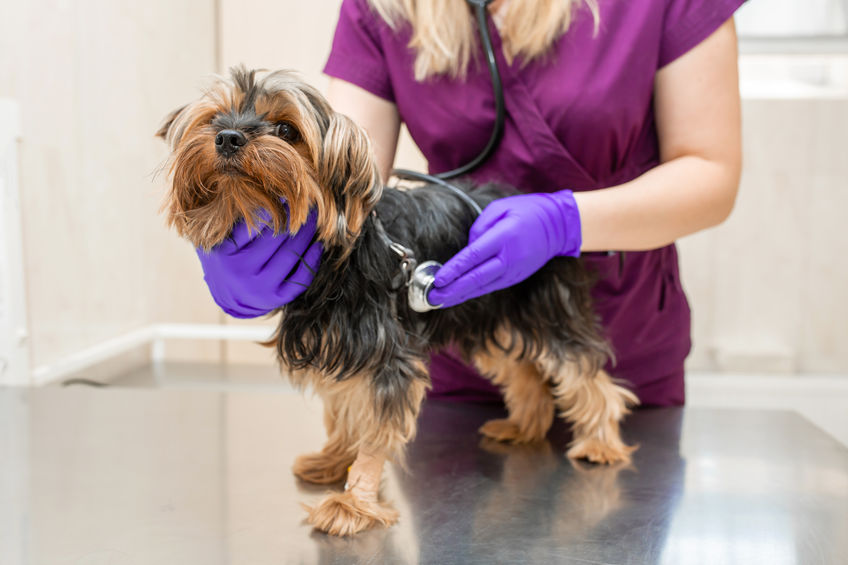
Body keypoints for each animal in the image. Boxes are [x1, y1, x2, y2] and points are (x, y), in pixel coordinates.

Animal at [157, 67, 636, 536]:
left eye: (286, 130)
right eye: (215, 118)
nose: (228, 138)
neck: (332, 260)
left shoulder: (384, 353)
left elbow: (376, 427)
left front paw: (354, 502)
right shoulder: (339, 345)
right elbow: (346, 409)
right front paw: (334, 460)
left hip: (542, 303)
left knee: (583, 369)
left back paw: (600, 442)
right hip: (488, 307)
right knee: (523, 371)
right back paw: (523, 426)